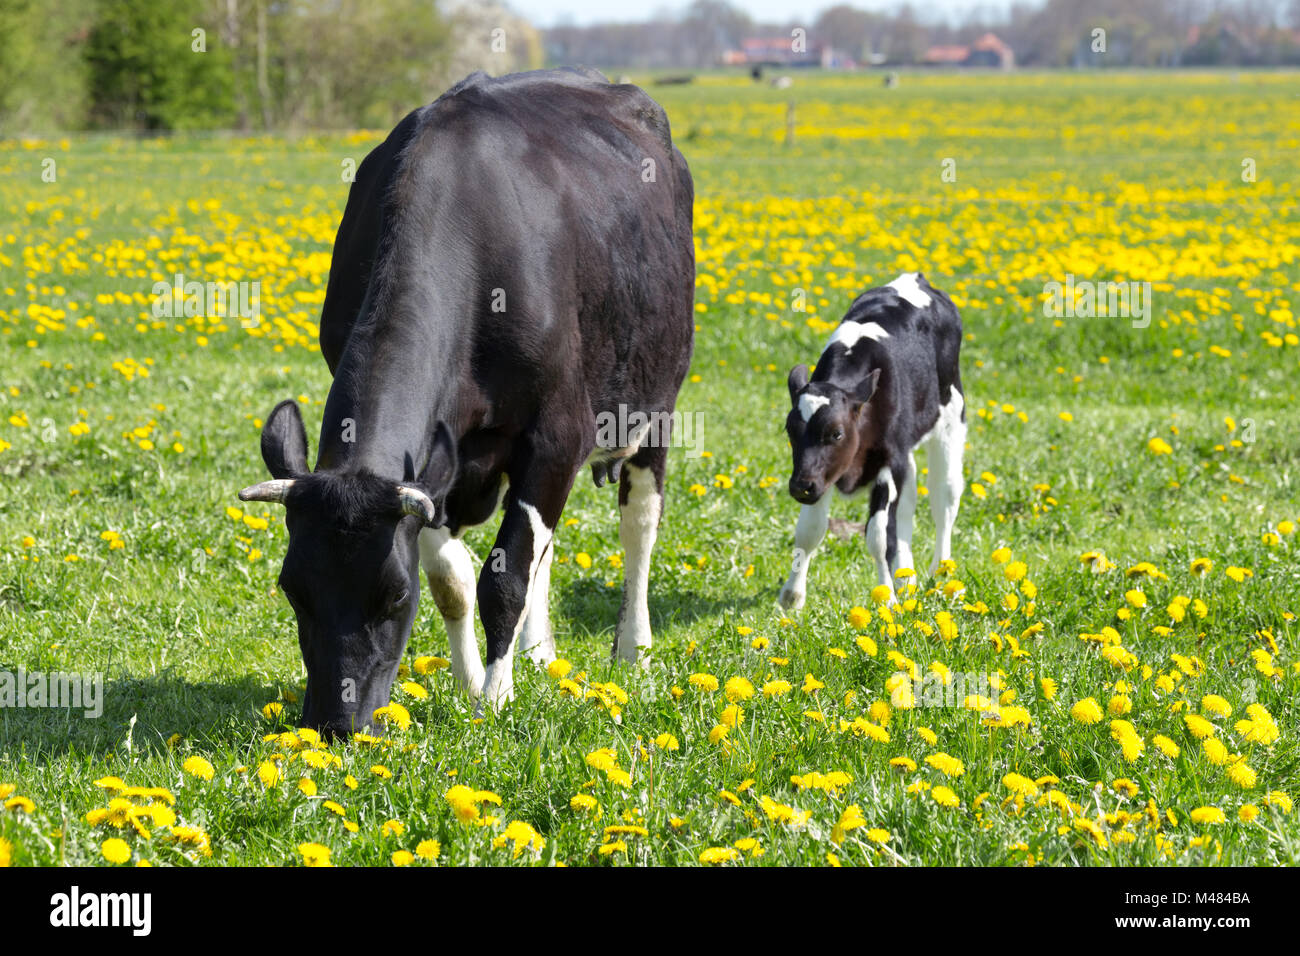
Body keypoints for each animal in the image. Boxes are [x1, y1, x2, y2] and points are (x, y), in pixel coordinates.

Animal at [237, 70, 696, 738]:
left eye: (393, 597)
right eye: (293, 590)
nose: (335, 725)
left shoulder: (558, 434)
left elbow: (503, 579)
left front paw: (495, 701)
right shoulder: (441, 462)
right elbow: (455, 576)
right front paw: (472, 680)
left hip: (654, 405)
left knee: (638, 525)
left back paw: (633, 648)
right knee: (545, 551)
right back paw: (539, 653)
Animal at [769, 273, 967, 608]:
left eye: (836, 433)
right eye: (790, 431)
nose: (798, 487)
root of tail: (915, 277)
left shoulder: (888, 463)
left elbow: (878, 536)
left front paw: (886, 598)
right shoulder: (821, 474)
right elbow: (809, 530)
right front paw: (792, 596)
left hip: (951, 419)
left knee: (944, 501)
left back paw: (941, 574)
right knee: (908, 506)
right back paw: (907, 578)